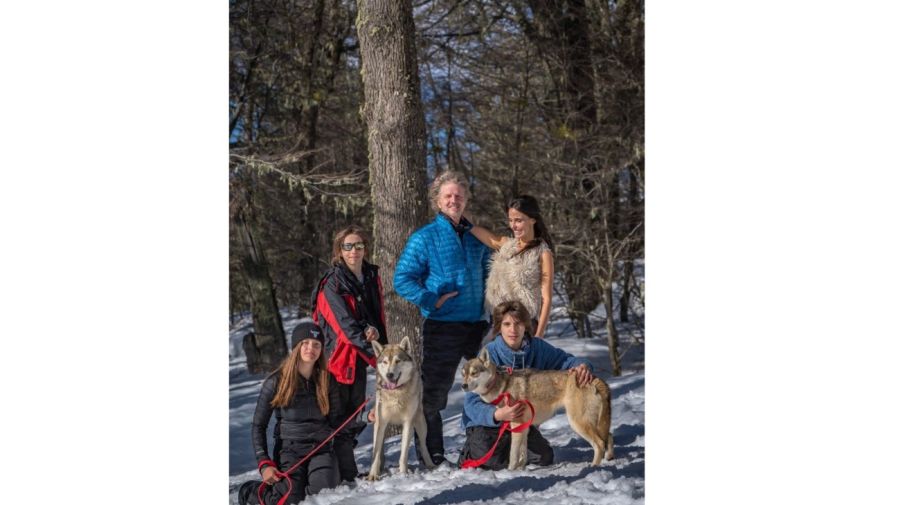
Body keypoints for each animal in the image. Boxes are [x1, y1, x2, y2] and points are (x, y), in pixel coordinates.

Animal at [366, 336, 436, 478]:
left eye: (398, 361)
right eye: (385, 362)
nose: (389, 375)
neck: (396, 393)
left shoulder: (408, 423)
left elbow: (403, 454)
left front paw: (403, 474)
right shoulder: (380, 423)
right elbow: (375, 452)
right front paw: (373, 475)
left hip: (420, 424)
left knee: (423, 445)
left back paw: (430, 464)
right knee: (380, 448)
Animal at [460, 346, 616, 468]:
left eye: (474, 373)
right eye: (463, 375)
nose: (463, 386)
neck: (501, 386)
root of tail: (596, 379)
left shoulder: (517, 425)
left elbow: (513, 455)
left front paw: (510, 472)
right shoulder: (523, 428)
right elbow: (522, 454)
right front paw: (521, 470)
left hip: (577, 423)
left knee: (600, 443)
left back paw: (593, 467)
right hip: (595, 423)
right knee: (609, 436)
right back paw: (609, 458)